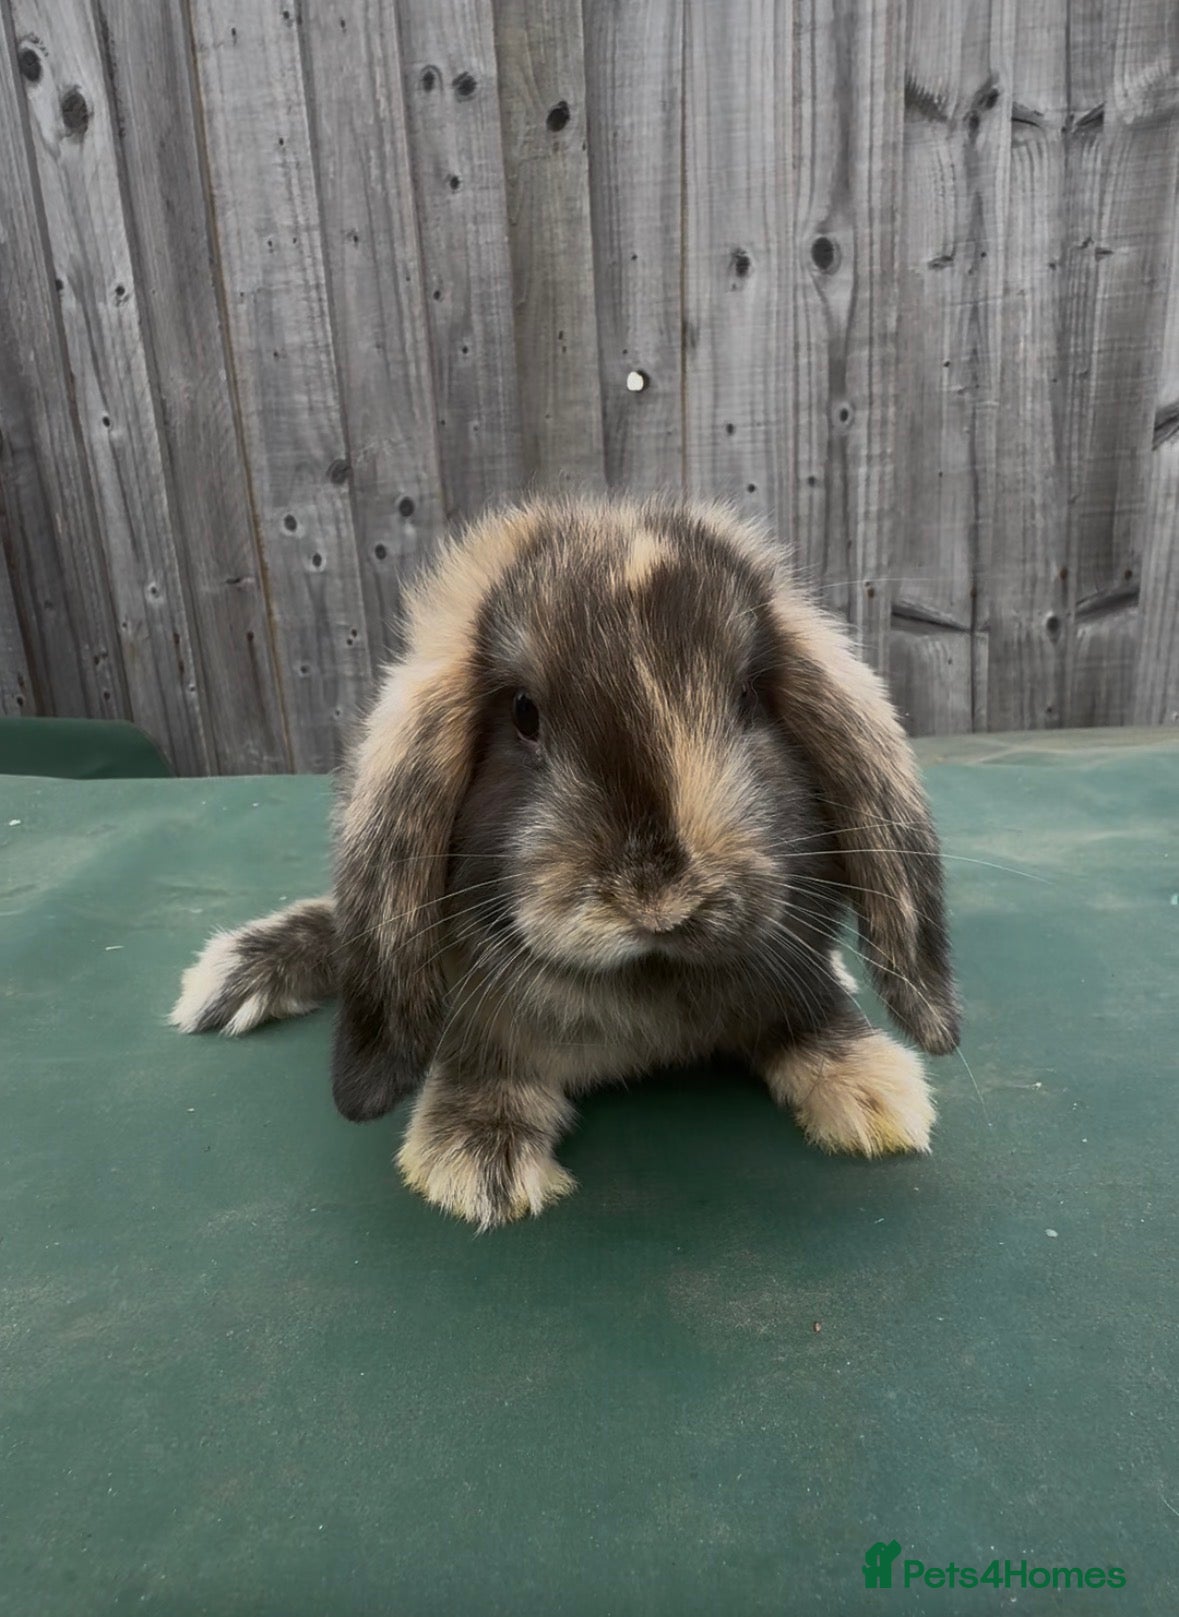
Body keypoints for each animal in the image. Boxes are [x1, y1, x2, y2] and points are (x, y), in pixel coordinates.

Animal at [173, 494, 959, 1229]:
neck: (646, 988)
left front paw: (873, 1089)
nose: (657, 900)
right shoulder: (478, 1016)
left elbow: (808, 1013)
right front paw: (478, 1159)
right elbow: (486, 1059)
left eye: (747, 699)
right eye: (524, 712)